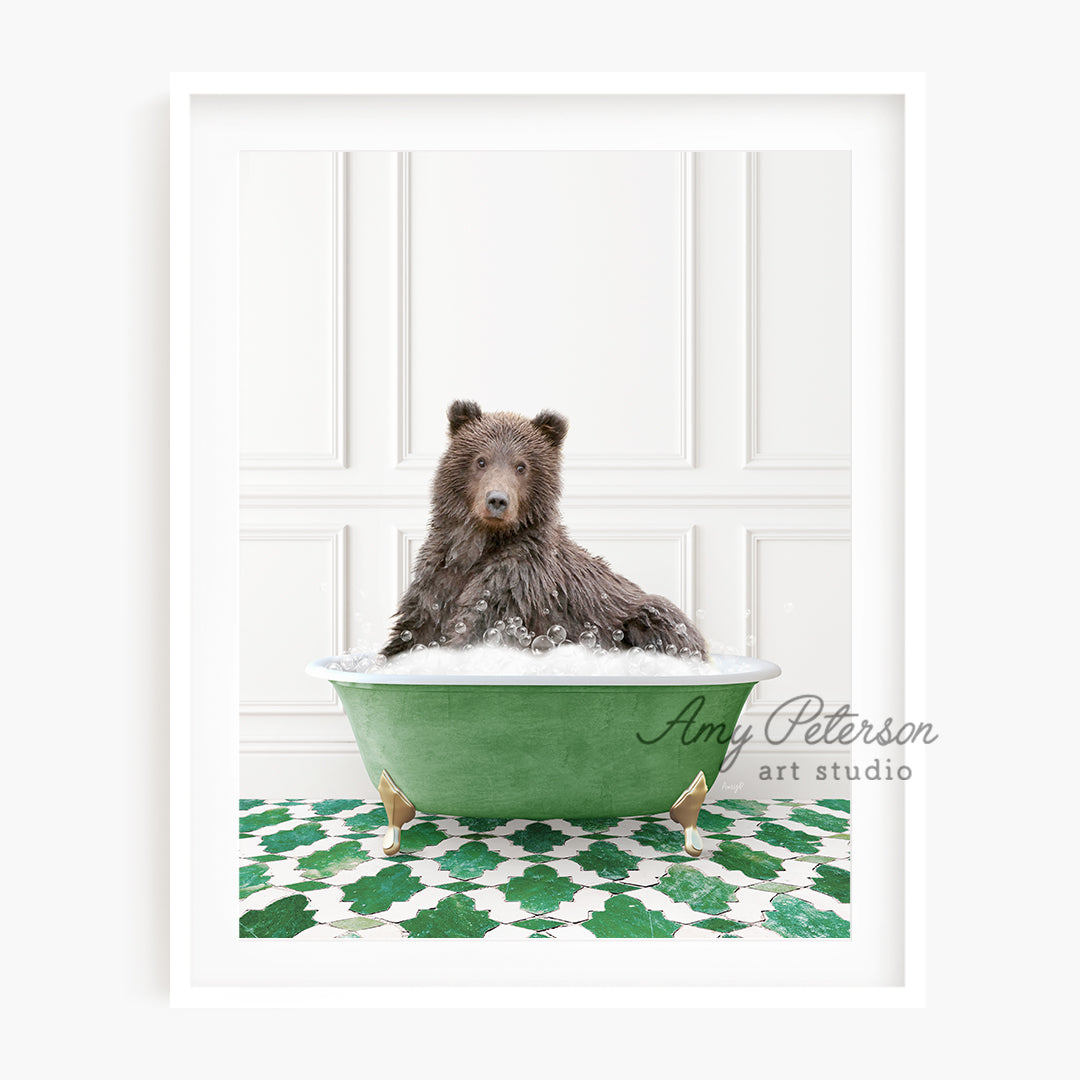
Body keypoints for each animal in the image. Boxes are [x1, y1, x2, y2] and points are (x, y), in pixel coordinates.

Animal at [384, 401, 712, 656]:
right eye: (481, 460)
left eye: (522, 466)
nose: (497, 500)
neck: (480, 544)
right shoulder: (437, 579)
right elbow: (412, 632)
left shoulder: (517, 583)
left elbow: (478, 625)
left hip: (644, 615)